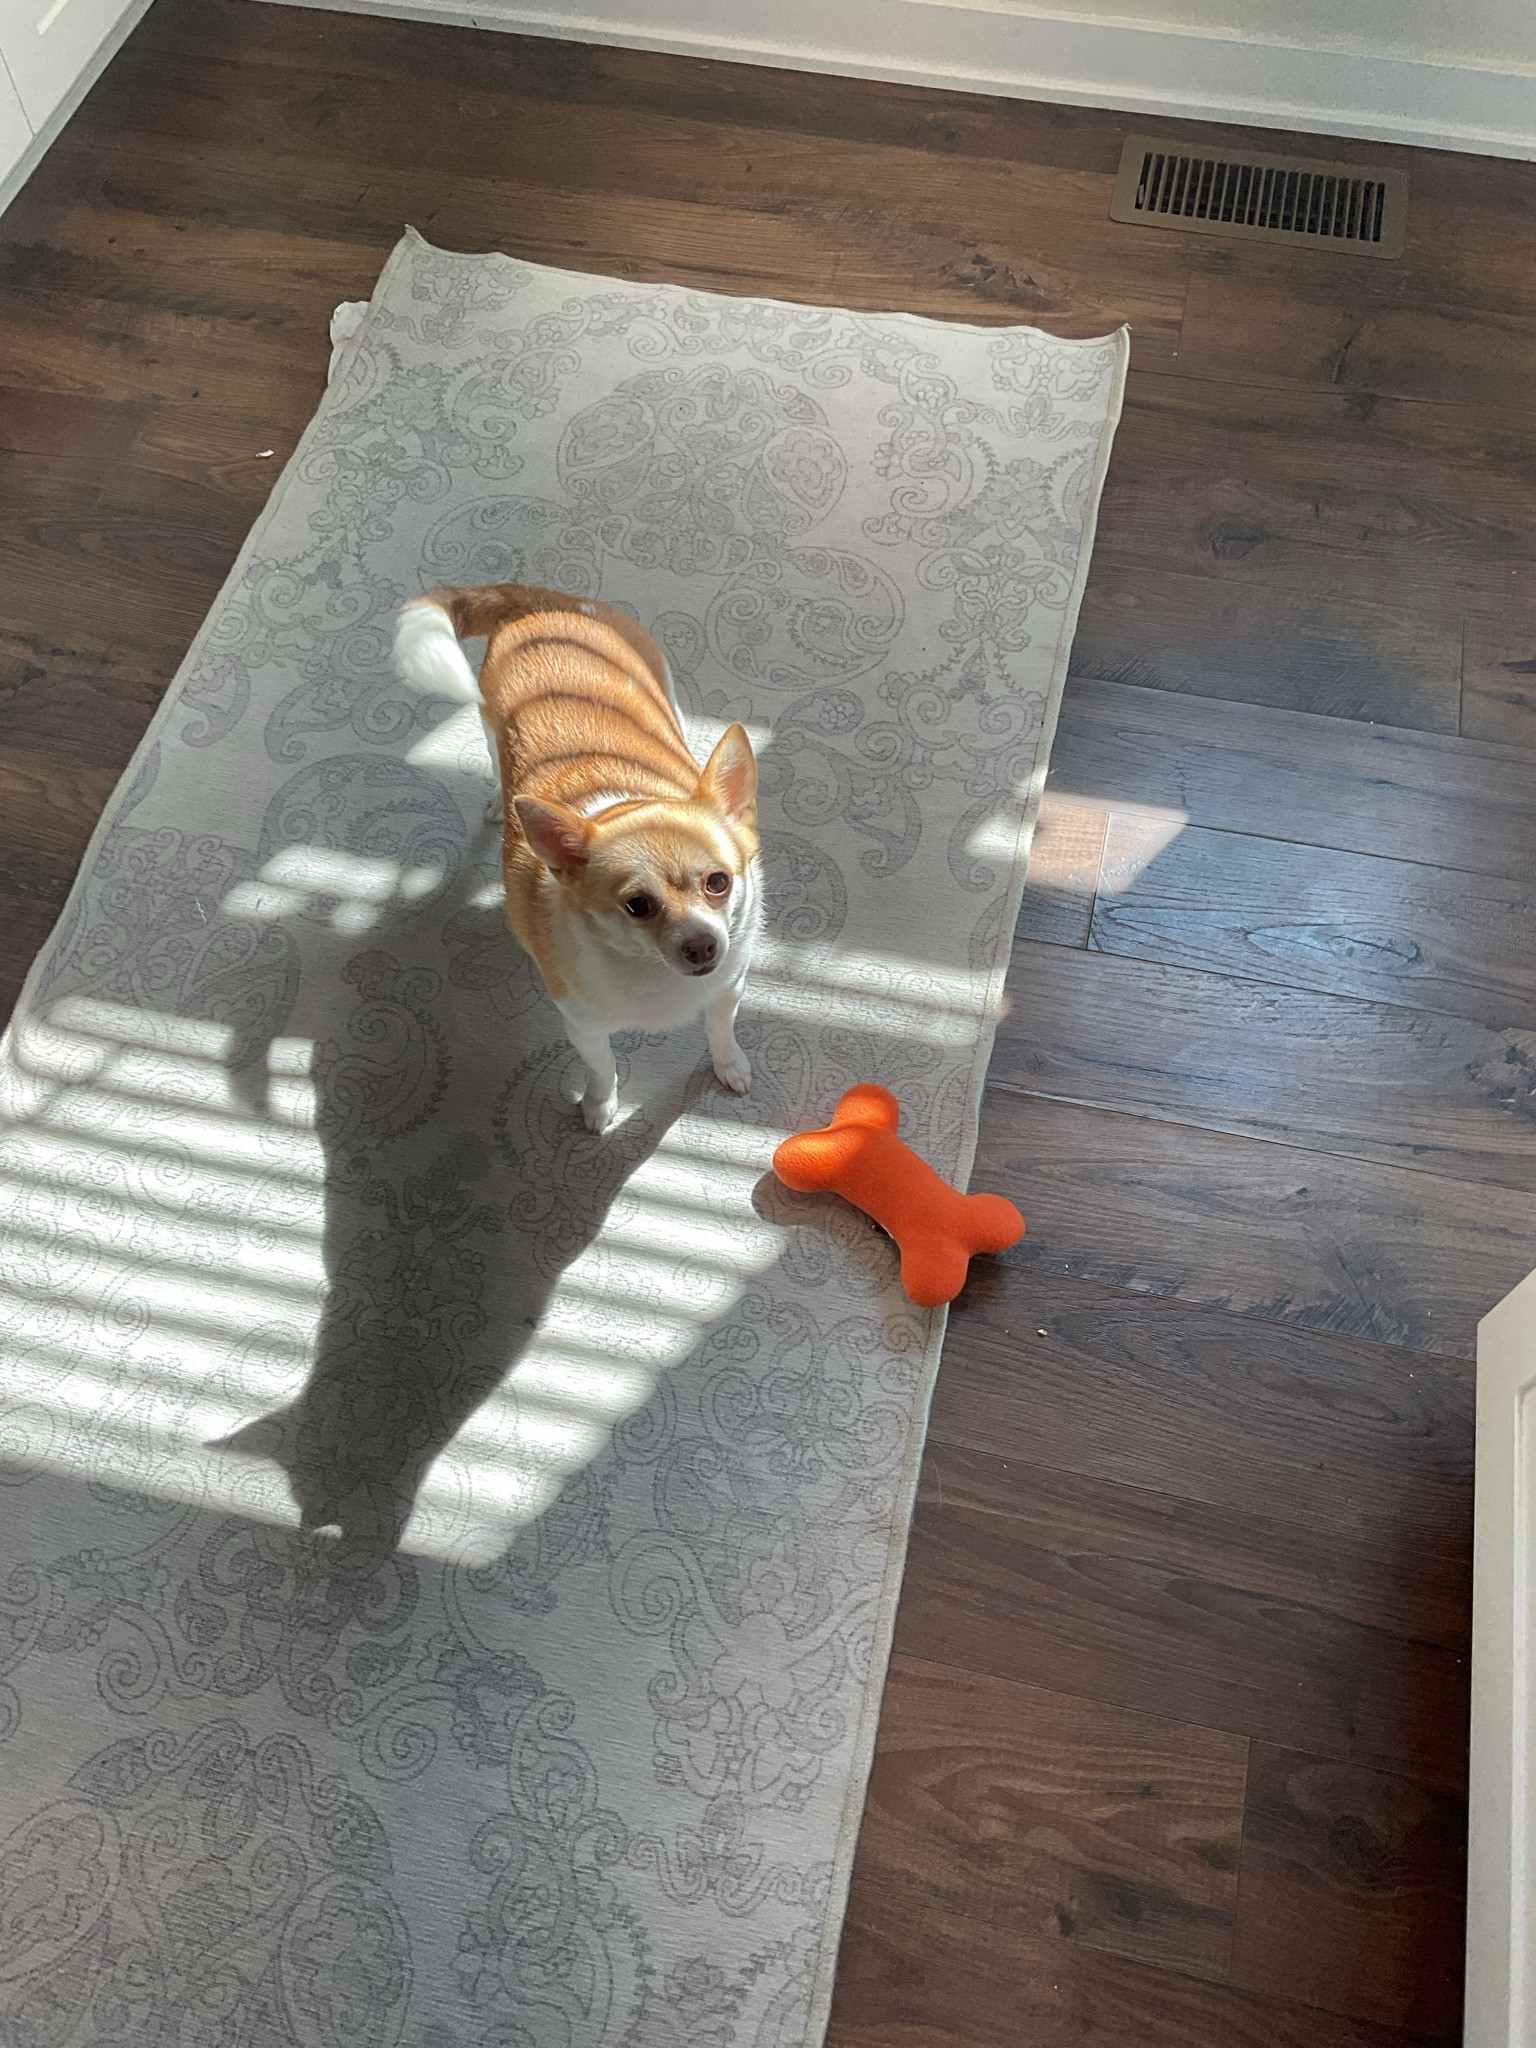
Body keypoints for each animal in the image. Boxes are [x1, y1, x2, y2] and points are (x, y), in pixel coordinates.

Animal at [393, 582, 761, 1132]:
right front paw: (600, 1106)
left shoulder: (727, 989)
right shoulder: (583, 1026)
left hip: (663, 686)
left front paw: (729, 1065)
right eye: (637, 906)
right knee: (497, 764)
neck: (653, 975)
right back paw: (500, 802)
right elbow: (603, 1065)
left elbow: (720, 1030)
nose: (702, 946)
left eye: (719, 881)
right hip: (489, 725)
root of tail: (539, 600)